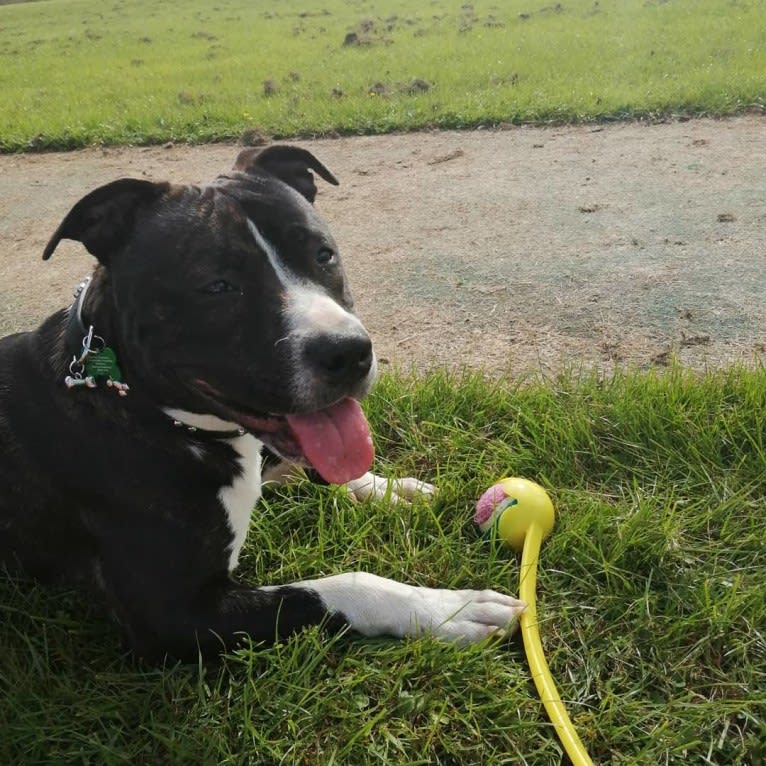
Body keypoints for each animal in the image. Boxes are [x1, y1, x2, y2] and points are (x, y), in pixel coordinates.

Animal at [0, 147, 528, 664]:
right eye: (217, 286)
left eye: (323, 254)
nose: (349, 352)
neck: (147, 409)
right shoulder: (174, 615)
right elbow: (331, 588)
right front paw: (446, 608)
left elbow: (311, 467)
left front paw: (388, 488)